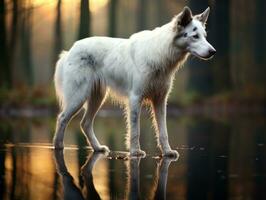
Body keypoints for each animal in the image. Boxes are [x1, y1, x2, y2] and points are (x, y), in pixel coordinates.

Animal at [53, 6, 216, 157]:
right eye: (195, 36)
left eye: (205, 36)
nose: (213, 52)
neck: (160, 53)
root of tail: (70, 51)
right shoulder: (135, 98)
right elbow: (135, 130)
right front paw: (135, 152)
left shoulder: (160, 101)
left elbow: (163, 131)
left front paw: (167, 151)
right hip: (79, 97)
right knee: (62, 118)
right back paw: (58, 146)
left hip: (97, 97)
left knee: (85, 123)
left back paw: (97, 148)